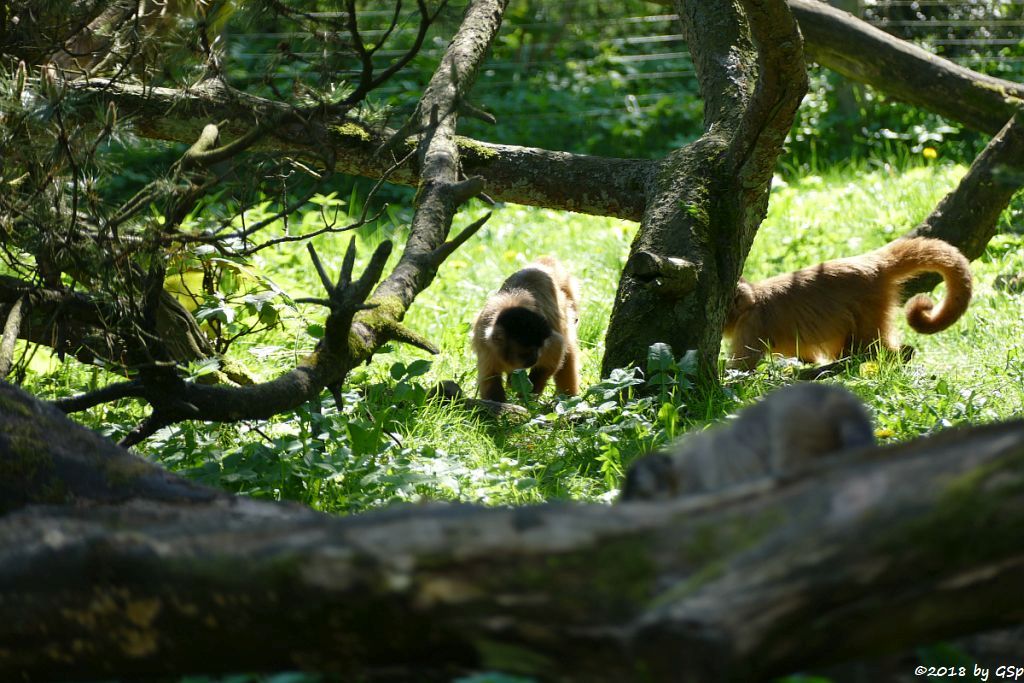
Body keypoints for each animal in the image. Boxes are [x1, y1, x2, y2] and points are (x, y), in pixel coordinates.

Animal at [724, 237, 970, 370]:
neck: (752, 300)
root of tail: (872, 262)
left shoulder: (752, 324)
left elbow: (742, 369)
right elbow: (807, 358)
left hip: (870, 304)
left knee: (871, 346)